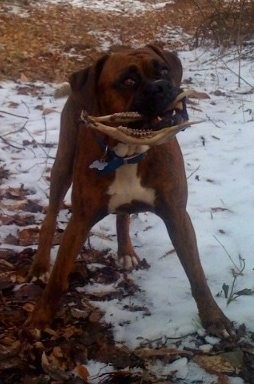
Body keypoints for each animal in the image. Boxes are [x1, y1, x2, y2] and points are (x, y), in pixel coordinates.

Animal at [27, 45, 232, 336]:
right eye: (128, 81)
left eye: (164, 71)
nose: (161, 86)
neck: (129, 151)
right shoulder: (80, 220)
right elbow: (59, 274)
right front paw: (40, 318)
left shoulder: (177, 215)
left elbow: (196, 272)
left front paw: (214, 318)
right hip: (62, 165)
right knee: (51, 216)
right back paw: (40, 265)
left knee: (122, 215)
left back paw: (126, 252)